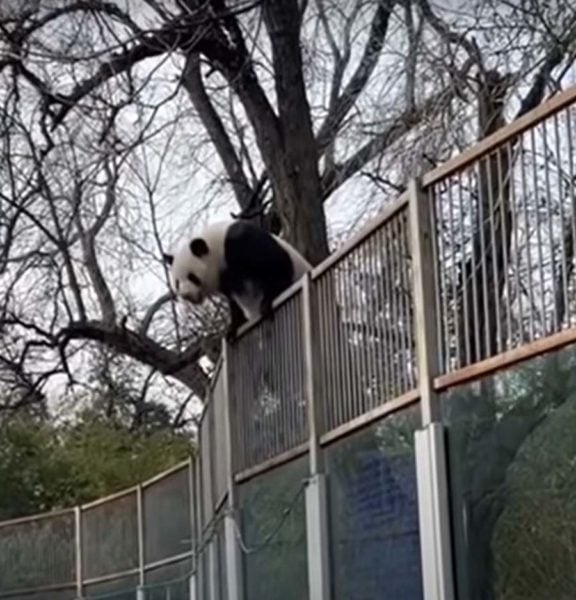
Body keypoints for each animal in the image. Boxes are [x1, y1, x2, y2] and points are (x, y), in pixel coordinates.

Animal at [162, 220, 312, 342]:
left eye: (192, 277)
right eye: (177, 282)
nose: (186, 295)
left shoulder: (240, 243)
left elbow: (275, 265)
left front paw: (267, 302)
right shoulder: (225, 278)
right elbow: (233, 302)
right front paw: (232, 328)